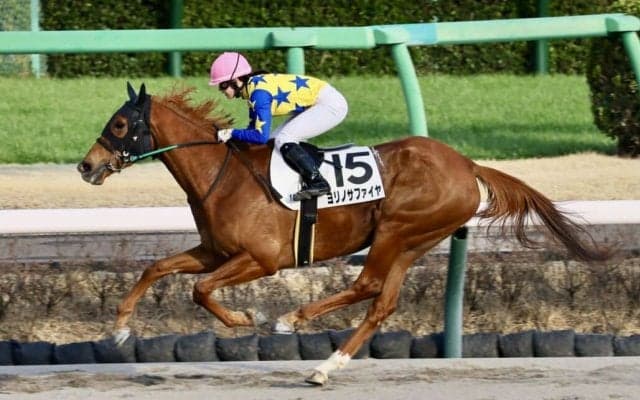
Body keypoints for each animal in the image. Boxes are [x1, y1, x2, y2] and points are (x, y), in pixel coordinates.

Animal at [77, 83, 610, 385]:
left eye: (120, 123)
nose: (86, 166)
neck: (221, 173)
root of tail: (467, 164)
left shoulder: (261, 259)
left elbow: (201, 290)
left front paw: (249, 317)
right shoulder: (214, 250)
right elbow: (158, 267)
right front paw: (120, 329)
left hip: (397, 229)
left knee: (367, 285)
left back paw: (291, 320)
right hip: (413, 241)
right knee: (381, 302)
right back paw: (325, 366)